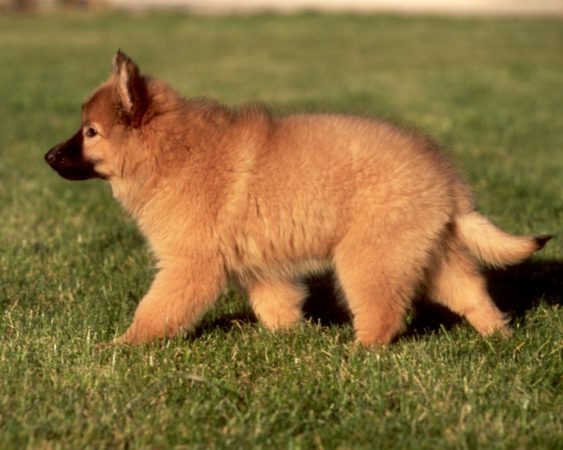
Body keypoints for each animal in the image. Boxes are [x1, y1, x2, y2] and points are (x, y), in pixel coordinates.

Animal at [45, 51, 552, 346]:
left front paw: (122, 347)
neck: (172, 151)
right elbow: (276, 307)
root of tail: (448, 180)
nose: (48, 155)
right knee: (473, 294)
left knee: (383, 315)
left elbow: (156, 311)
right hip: (427, 254)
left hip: (369, 258)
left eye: (91, 133)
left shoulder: (190, 266)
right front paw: (291, 340)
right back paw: (500, 337)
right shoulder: (259, 268)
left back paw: (358, 353)